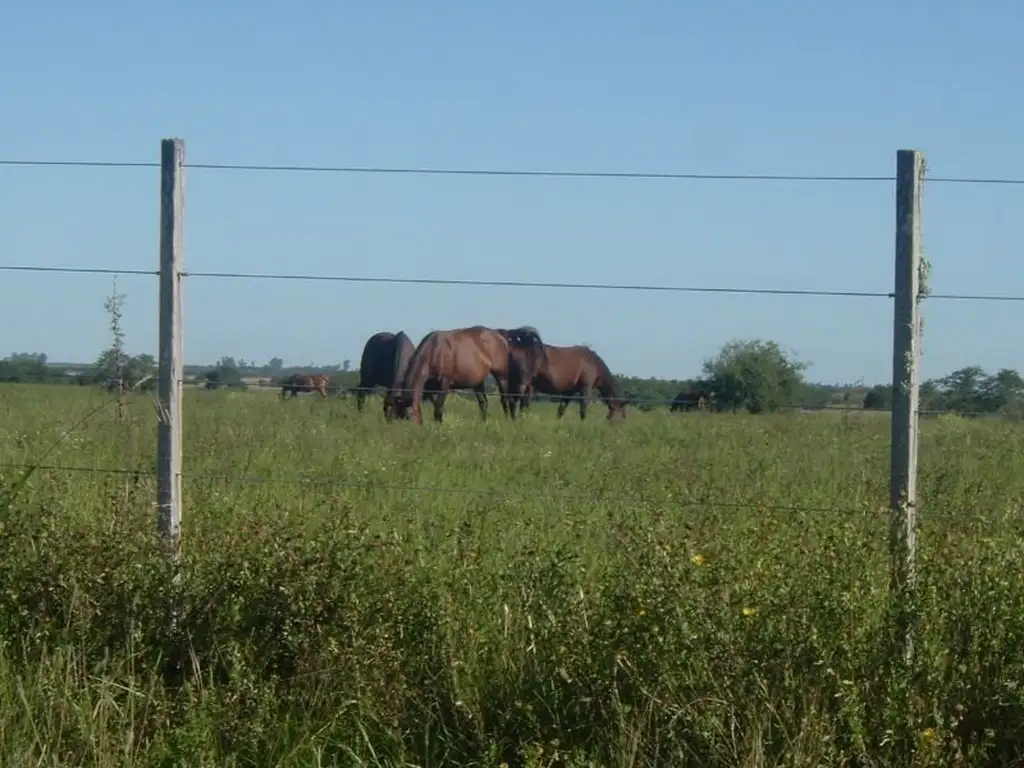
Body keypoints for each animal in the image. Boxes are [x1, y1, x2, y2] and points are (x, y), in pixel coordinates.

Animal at [391, 325, 548, 428]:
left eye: (406, 415)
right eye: (396, 415)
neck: (435, 351)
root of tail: (499, 334)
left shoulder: (445, 384)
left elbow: (439, 408)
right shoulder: (430, 388)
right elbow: (436, 406)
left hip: (501, 375)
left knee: (506, 400)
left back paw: (510, 420)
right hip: (478, 382)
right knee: (484, 403)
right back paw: (483, 423)